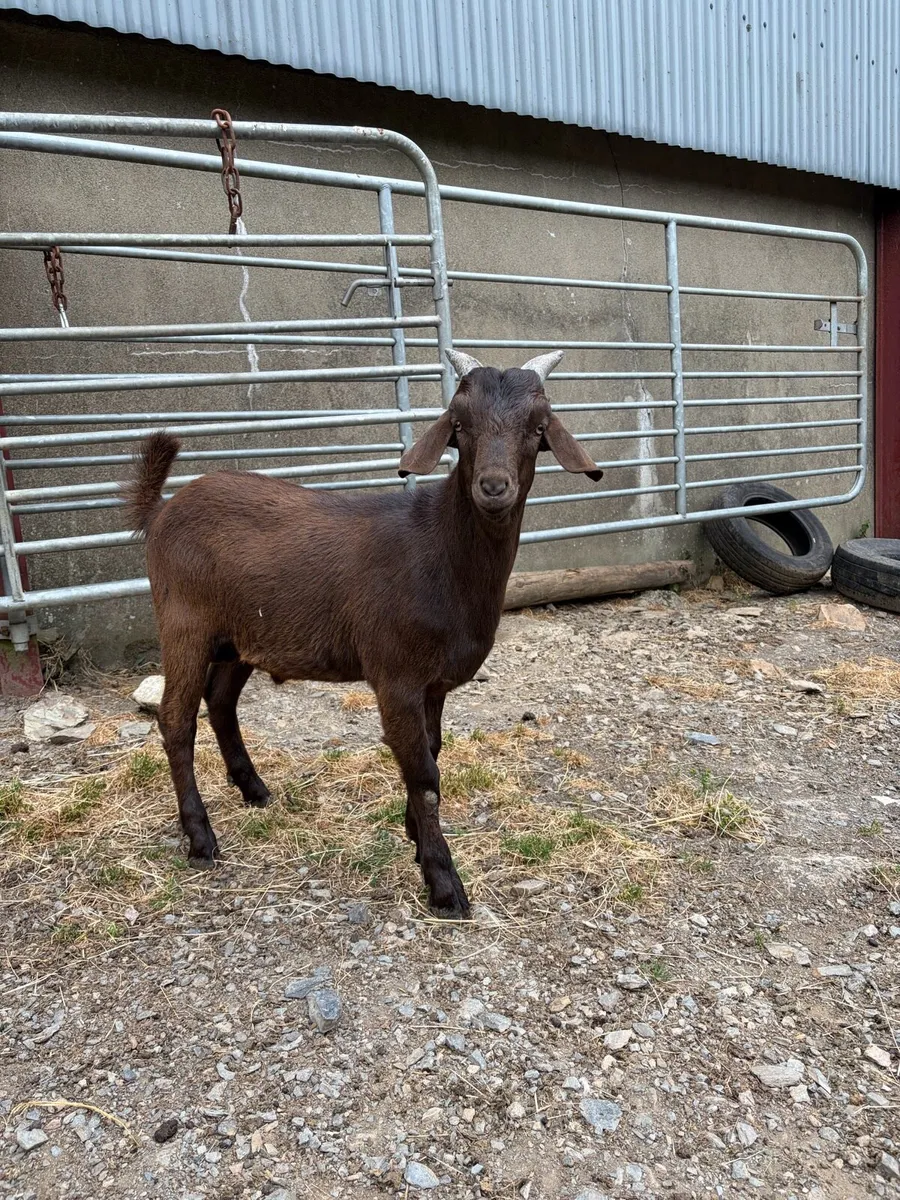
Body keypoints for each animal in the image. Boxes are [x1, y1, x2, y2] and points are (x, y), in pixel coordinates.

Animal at [124, 349, 602, 918]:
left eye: (539, 427)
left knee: (220, 703)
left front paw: (415, 838)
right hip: (184, 624)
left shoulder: (433, 684)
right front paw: (443, 884)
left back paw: (254, 789)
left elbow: (431, 751)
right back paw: (200, 838)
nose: (492, 486)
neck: (441, 549)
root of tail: (161, 509)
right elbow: (423, 775)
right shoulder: (395, 676)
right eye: (459, 425)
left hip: (240, 636)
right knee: (176, 720)